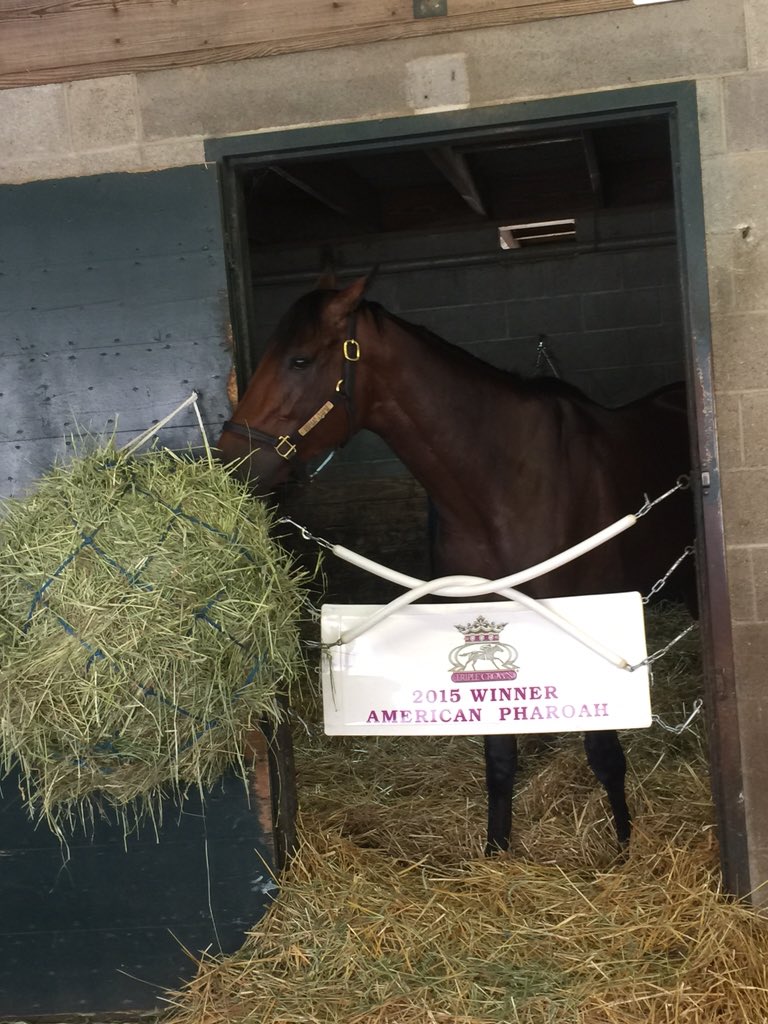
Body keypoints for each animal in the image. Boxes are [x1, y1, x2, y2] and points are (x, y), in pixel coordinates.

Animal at [216, 274, 694, 856]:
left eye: (300, 360)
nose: (229, 461)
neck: (507, 482)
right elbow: (499, 756)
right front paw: (497, 851)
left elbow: (603, 752)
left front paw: (622, 849)